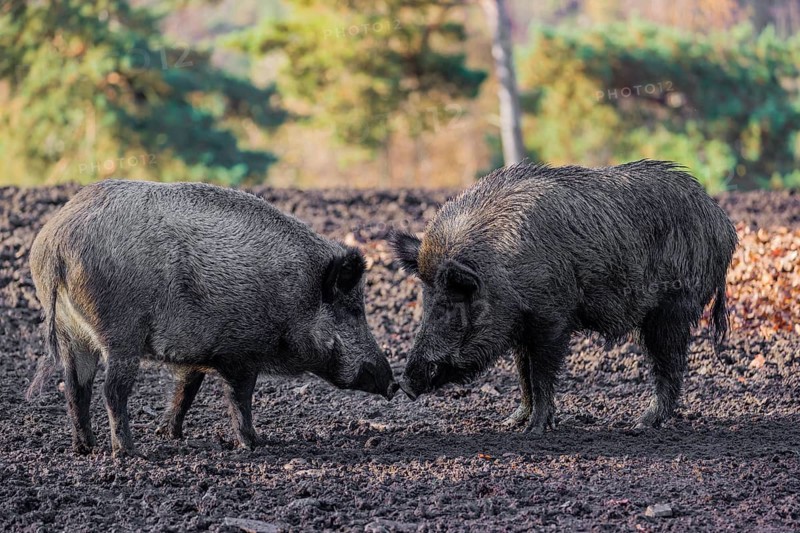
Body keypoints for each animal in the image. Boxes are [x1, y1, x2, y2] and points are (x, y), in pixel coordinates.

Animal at [27, 179, 396, 457]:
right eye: (354, 310)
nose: (393, 384)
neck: (297, 297)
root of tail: (55, 244)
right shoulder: (241, 353)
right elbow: (240, 398)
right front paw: (255, 443)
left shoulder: (197, 352)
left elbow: (186, 390)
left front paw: (170, 434)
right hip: (120, 333)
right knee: (111, 390)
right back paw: (129, 452)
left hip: (73, 334)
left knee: (75, 386)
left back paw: (86, 448)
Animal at [391, 160, 737, 433]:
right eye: (425, 301)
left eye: (449, 306)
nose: (403, 384)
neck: (501, 267)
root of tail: (723, 223)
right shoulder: (521, 327)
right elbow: (523, 374)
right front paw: (511, 422)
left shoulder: (552, 319)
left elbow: (541, 374)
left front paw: (534, 429)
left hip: (672, 308)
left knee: (670, 365)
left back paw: (641, 423)